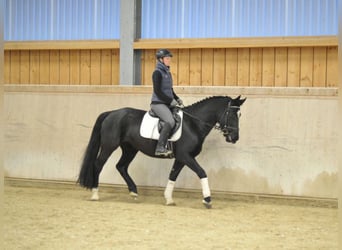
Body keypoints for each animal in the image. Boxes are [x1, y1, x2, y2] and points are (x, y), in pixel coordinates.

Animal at [78, 94, 246, 208]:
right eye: (232, 114)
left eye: (240, 115)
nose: (234, 137)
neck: (193, 124)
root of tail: (111, 113)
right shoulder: (186, 156)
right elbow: (202, 172)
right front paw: (207, 199)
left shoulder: (181, 158)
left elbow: (173, 175)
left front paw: (169, 199)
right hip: (109, 146)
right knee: (98, 165)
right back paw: (95, 194)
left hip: (130, 149)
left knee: (121, 166)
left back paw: (133, 191)